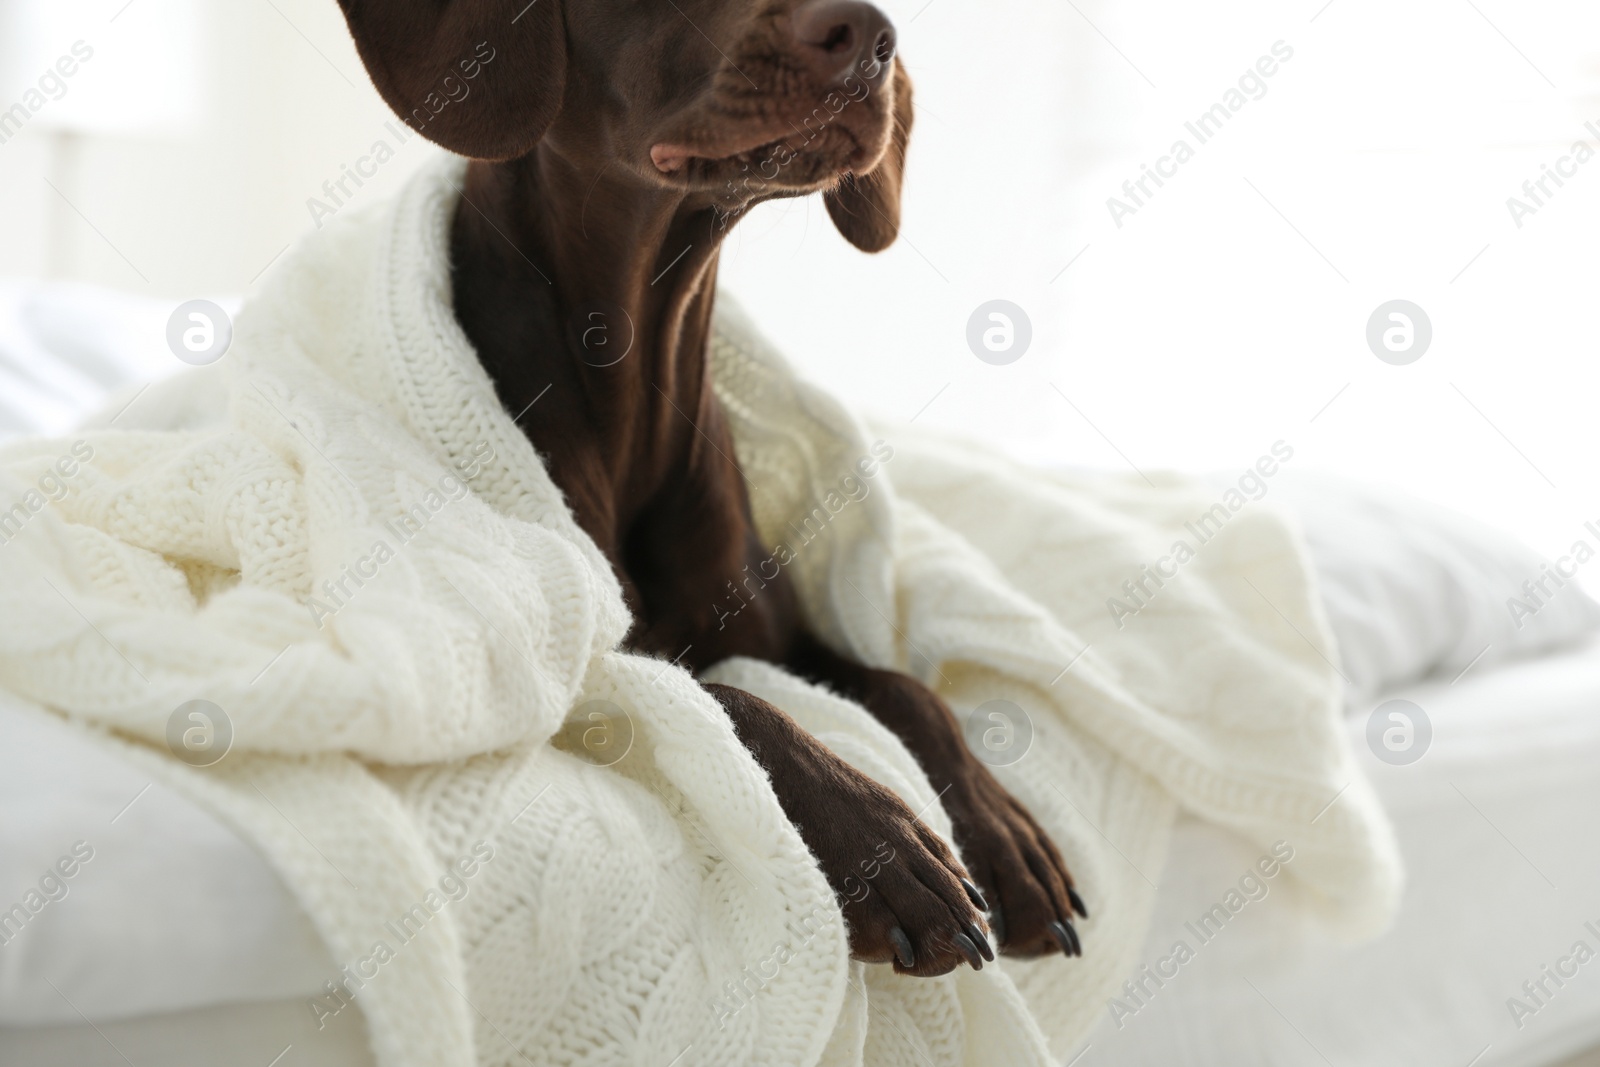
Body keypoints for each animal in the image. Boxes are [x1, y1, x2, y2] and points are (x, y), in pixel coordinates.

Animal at [337, 0, 1088, 979]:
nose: (870, 38)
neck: (638, 381)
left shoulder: (787, 634)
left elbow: (909, 690)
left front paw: (1004, 833)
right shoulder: (588, 671)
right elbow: (725, 699)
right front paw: (883, 844)